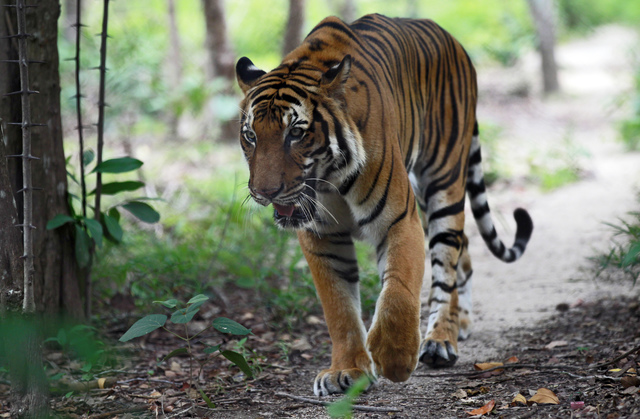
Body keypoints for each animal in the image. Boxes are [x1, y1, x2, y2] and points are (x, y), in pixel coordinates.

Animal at [234, 13, 528, 398]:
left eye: (295, 133)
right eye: (250, 136)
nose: (264, 192)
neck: (331, 181)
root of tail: (453, 40)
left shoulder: (399, 220)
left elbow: (399, 290)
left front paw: (395, 358)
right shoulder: (322, 238)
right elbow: (339, 309)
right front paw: (345, 370)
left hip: (444, 184)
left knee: (446, 262)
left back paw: (440, 341)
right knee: (462, 250)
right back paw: (460, 322)